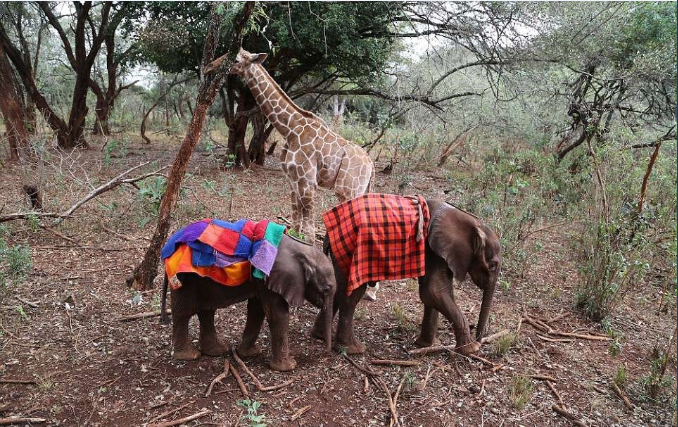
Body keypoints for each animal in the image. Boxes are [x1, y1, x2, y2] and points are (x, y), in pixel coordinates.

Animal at [162, 232, 338, 372]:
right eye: (327, 289)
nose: (327, 353)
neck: (300, 249)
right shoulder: (270, 274)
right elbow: (278, 315)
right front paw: (289, 367)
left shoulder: (262, 279)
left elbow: (257, 310)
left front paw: (249, 354)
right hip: (185, 278)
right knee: (184, 312)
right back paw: (189, 356)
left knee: (206, 310)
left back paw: (217, 351)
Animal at [214, 49, 378, 241]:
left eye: (235, 59)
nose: (212, 66)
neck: (290, 128)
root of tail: (371, 165)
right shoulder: (292, 180)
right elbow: (295, 225)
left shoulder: (308, 182)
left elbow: (309, 232)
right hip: (359, 190)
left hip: (347, 190)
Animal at [316, 200, 502, 358]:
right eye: (492, 265)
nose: (480, 341)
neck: (470, 221)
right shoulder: (433, 249)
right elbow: (433, 291)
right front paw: (471, 349)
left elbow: (434, 293)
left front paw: (427, 345)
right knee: (352, 294)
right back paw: (353, 350)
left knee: (338, 290)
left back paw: (320, 336)